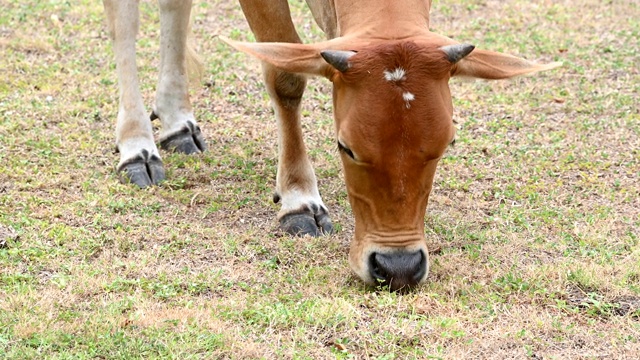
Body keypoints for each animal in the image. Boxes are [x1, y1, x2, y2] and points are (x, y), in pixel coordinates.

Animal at [102, 0, 556, 292]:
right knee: (124, 22)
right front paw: (299, 199)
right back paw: (137, 145)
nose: (399, 268)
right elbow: (285, 75)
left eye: (446, 145)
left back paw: (177, 120)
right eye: (346, 147)